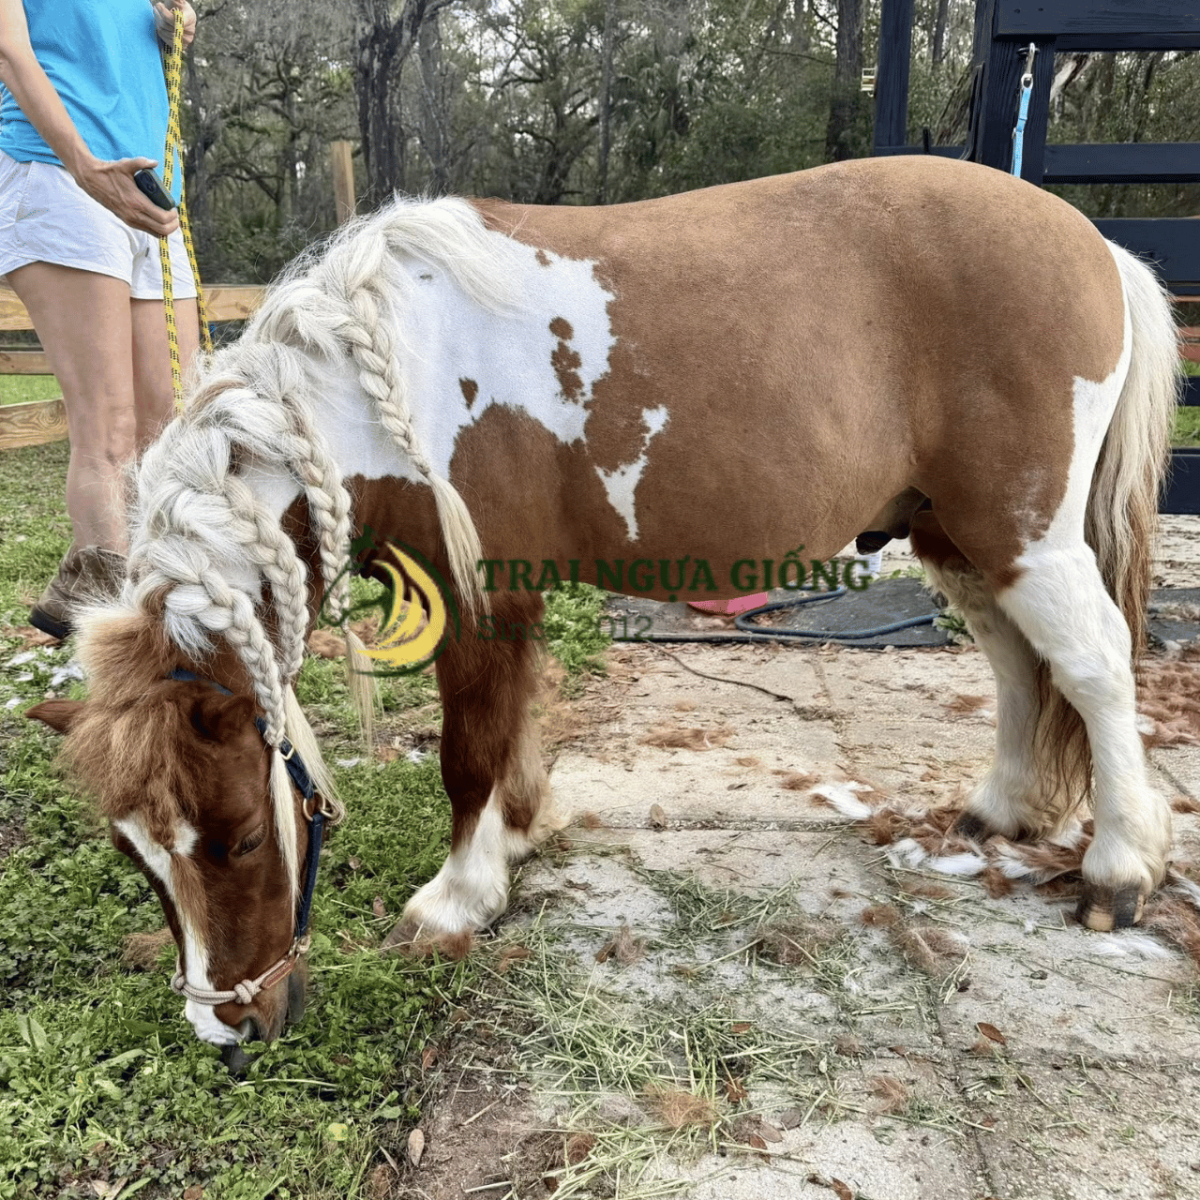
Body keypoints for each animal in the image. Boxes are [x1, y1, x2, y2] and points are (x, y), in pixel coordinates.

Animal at [26, 154, 1180, 1052]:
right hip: (958, 537)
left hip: (1023, 534)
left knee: (1093, 665)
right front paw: (519, 837)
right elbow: (513, 736)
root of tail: (1091, 241)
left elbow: (470, 751)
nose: (231, 1032)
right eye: (134, 857)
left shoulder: (477, 597)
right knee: (1017, 662)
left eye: (238, 841)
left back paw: (1120, 867)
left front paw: (458, 897)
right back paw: (1005, 810)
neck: (384, 375)